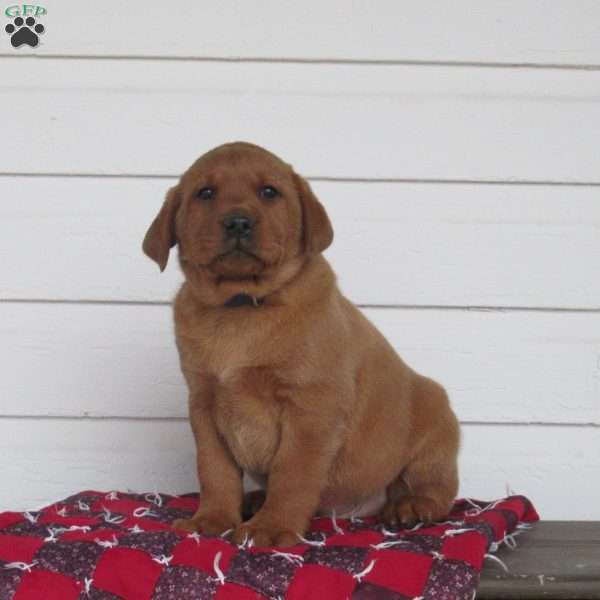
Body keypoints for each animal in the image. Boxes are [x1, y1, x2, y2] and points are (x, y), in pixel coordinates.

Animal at [144, 143, 460, 548]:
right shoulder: (203, 403)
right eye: (206, 193)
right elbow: (214, 471)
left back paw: (412, 505)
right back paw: (254, 498)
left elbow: (291, 474)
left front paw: (271, 527)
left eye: (269, 192)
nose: (238, 222)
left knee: (437, 487)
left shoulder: (311, 407)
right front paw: (211, 519)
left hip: (435, 417)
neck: (242, 306)